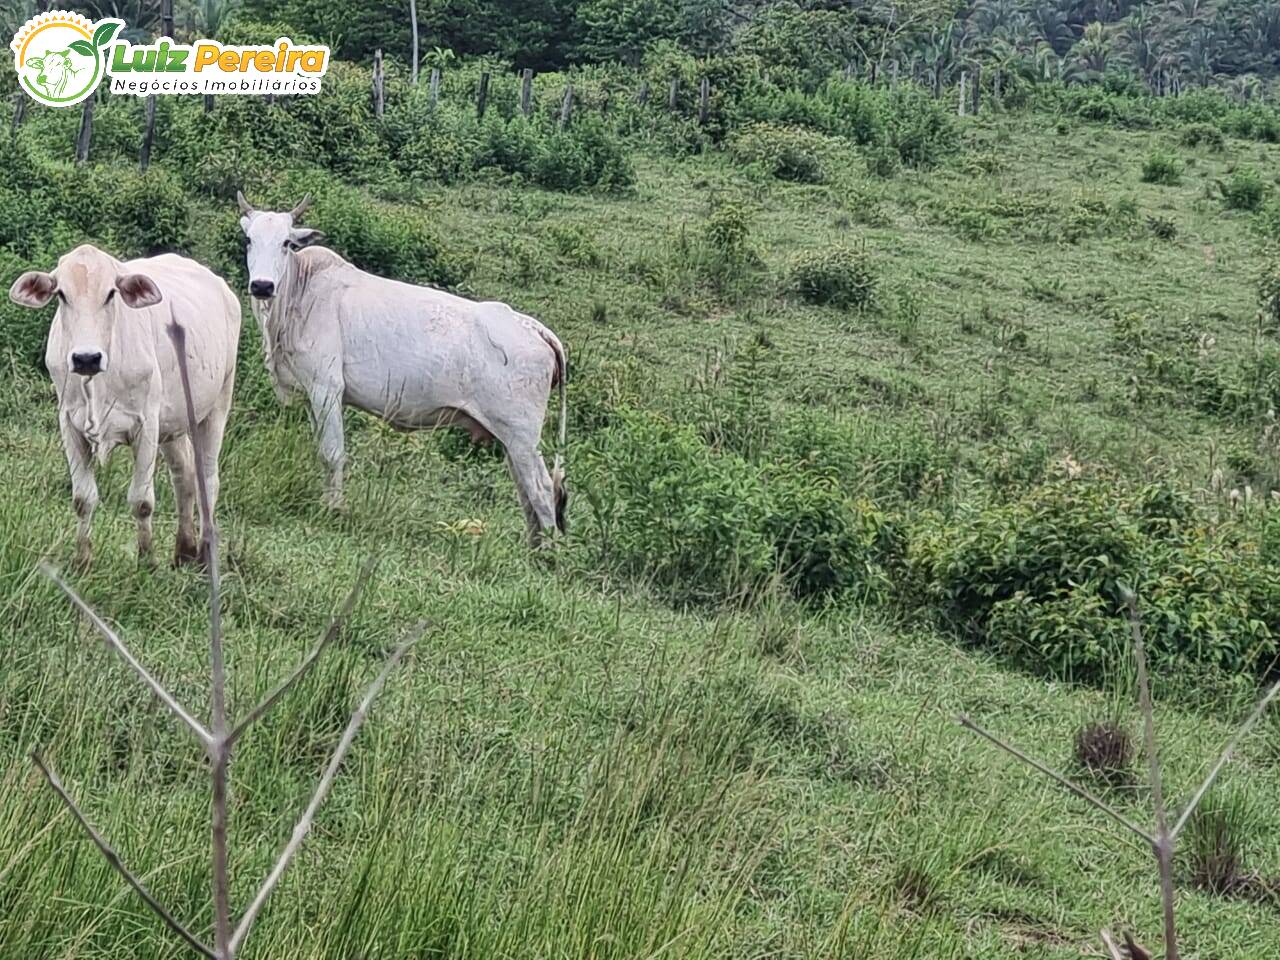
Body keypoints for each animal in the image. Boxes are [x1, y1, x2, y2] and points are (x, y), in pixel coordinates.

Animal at [9, 244, 241, 568]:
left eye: (111, 294)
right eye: (62, 294)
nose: (86, 358)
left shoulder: (147, 425)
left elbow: (142, 501)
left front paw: (147, 561)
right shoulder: (69, 424)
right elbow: (83, 498)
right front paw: (83, 561)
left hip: (217, 406)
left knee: (207, 479)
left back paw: (206, 555)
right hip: (173, 422)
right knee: (184, 475)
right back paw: (184, 550)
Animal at [235, 193, 565, 545]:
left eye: (286, 242)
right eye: (248, 239)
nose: (262, 286)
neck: (298, 295)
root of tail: (532, 327)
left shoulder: (327, 388)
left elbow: (333, 452)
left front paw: (334, 509)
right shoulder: (311, 395)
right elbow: (321, 452)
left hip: (522, 436)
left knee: (542, 490)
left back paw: (550, 551)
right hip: (511, 440)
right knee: (526, 492)